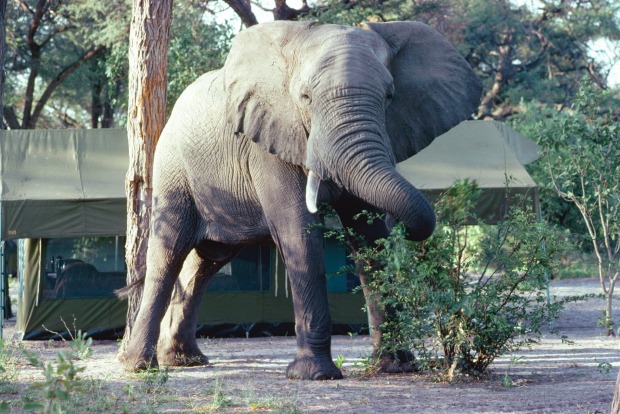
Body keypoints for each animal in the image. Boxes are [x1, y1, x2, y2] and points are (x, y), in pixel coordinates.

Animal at [118, 20, 482, 382]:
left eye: (390, 96)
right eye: (305, 98)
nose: (410, 230)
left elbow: (371, 237)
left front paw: (396, 367)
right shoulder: (269, 143)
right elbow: (299, 233)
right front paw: (314, 374)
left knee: (206, 261)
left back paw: (185, 360)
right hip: (172, 167)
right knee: (169, 253)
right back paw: (139, 366)